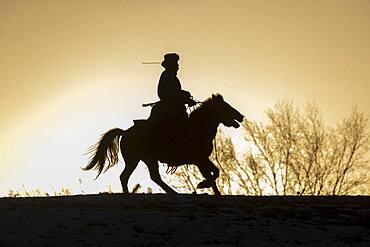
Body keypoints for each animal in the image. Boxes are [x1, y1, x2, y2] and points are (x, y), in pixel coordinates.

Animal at [82, 94, 244, 195]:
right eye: (226, 106)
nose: (241, 116)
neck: (199, 128)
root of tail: (125, 132)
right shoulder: (199, 160)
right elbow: (212, 175)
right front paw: (203, 185)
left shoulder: (203, 159)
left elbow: (215, 172)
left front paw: (212, 190)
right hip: (142, 159)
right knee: (137, 176)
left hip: (141, 160)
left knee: (138, 177)